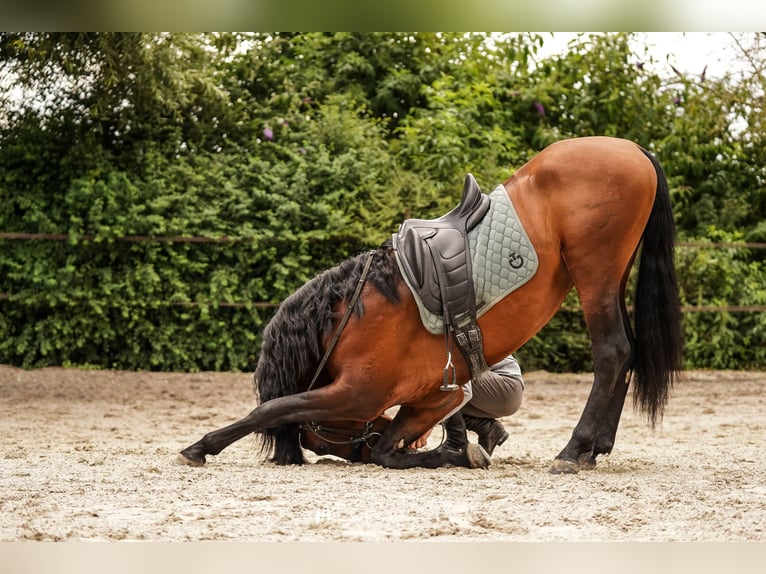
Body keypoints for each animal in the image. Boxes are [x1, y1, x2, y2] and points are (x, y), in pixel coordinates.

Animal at [180, 136, 684, 476]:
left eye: (324, 438)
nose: (355, 451)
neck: (351, 317)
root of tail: (634, 149)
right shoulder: (431, 397)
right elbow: (395, 446)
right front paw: (453, 452)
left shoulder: (356, 392)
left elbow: (274, 408)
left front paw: (202, 446)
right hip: (612, 275)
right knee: (627, 353)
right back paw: (595, 448)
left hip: (595, 272)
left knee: (613, 353)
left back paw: (575, 451)